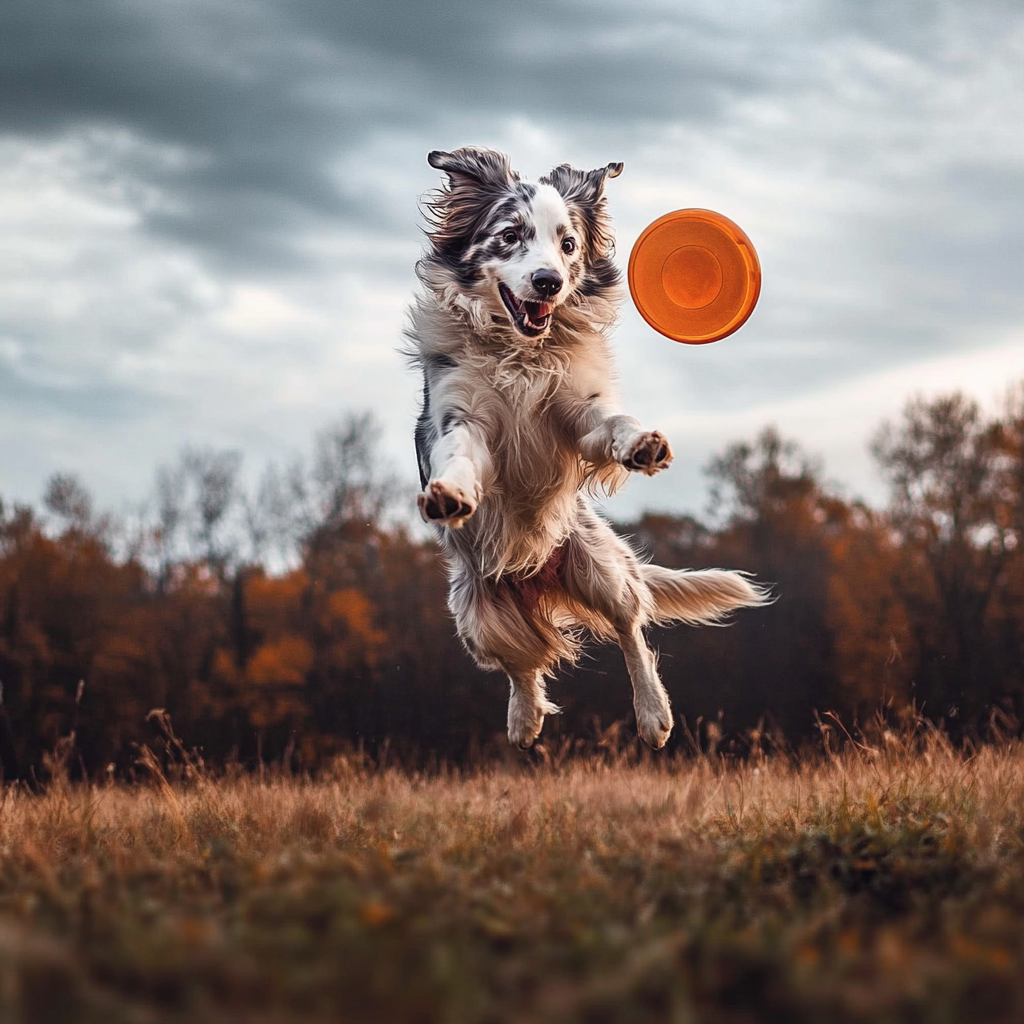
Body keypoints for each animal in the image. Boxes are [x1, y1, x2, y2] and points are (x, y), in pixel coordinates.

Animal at [403, 144, 765, 749]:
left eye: (568, 244)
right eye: (509, 235)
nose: (549, 281)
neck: (521, 352)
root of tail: (535, 580)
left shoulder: (576, 414)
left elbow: (612, 421)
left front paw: (642, 443)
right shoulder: (464, 418)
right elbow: (459, 455)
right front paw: (450, 492)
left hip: (598, 566)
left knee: (629, 625)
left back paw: (653, 714)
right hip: (476, 615)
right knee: (522, 663)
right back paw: (523, 720)